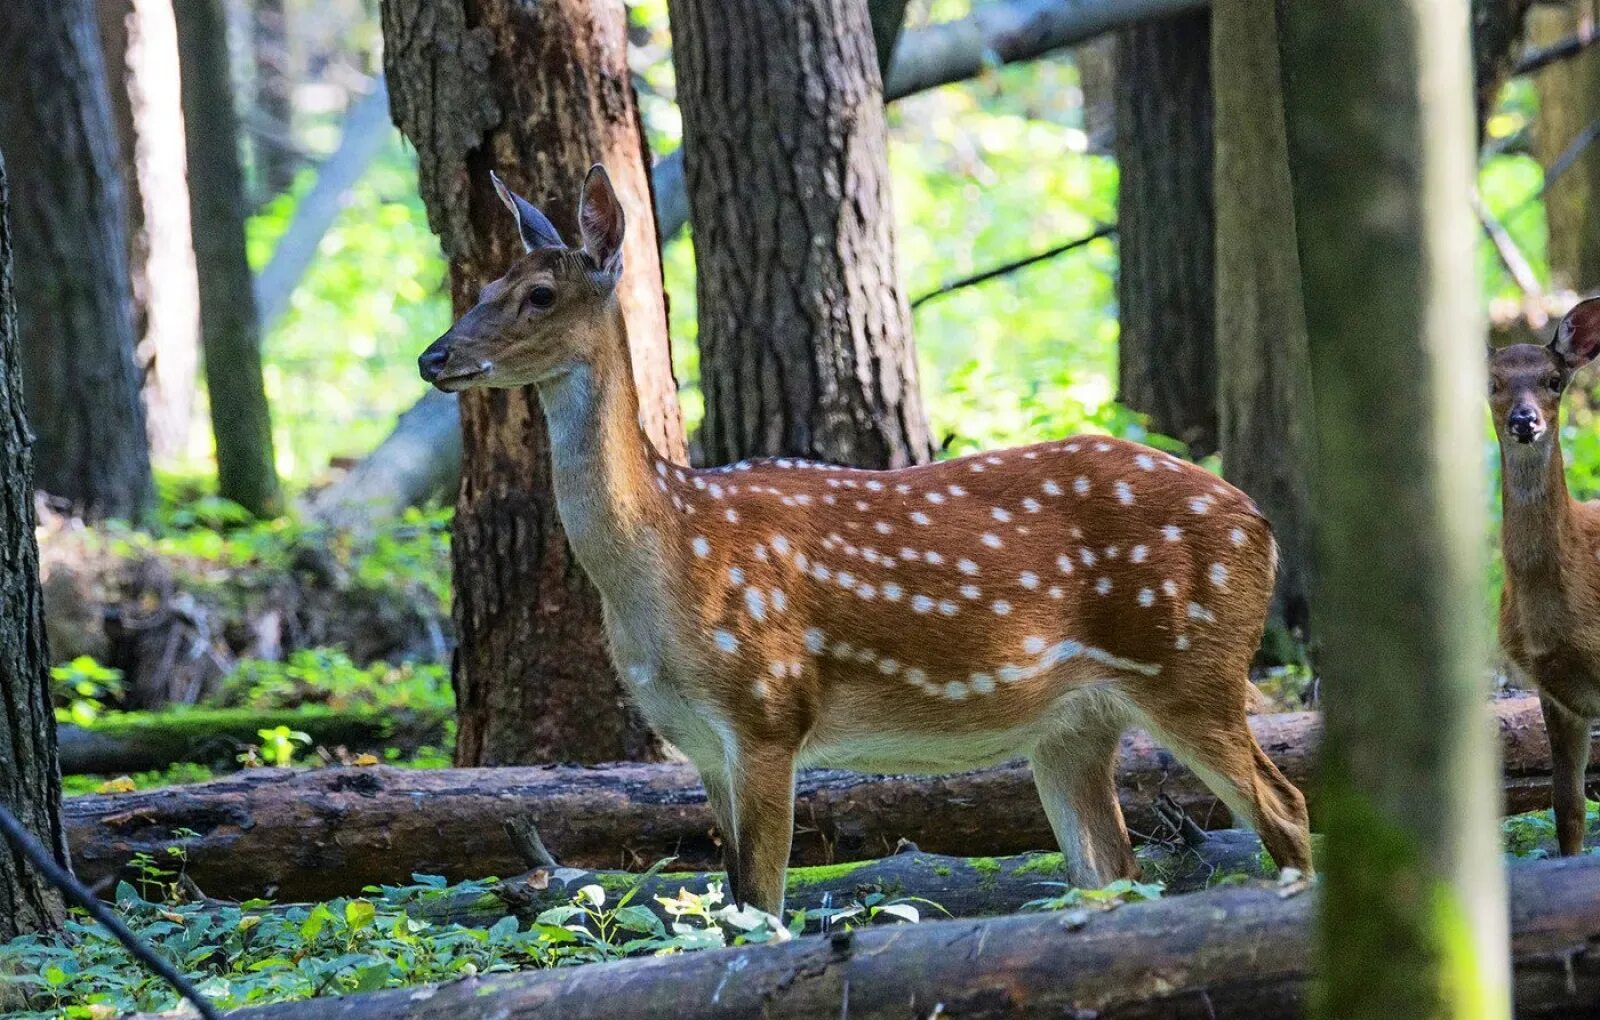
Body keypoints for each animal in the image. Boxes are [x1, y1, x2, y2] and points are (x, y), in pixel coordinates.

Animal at [412, 163, 1312, 914]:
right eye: (483, 282)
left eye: (537, 293)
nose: (434, 357)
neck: (670, 551)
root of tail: (1260, 524)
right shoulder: (700, 745)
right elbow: (732, 908)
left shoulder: (769, 709)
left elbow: (762, 912)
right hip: (1073, 727)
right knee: (1113, 875)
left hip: (1191, 667)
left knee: (1287, 808)